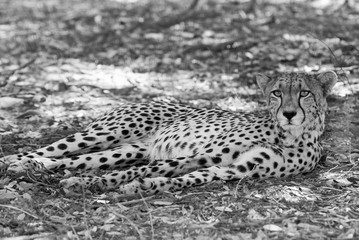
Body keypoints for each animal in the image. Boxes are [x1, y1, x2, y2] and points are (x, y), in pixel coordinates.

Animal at [0, 71, 338, 197]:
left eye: (305, 93)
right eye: (278, 93)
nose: (289, 113)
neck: (290, 135)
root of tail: (159, 97)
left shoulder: (233, 168)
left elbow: (186, 177)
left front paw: (145, 186)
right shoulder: (203, 154)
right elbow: (148, 169)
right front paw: (91, 184)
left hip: (128, 148)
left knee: (77, 160)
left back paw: (36, 169)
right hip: (109, 131)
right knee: (52, 150)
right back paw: (17, 162)